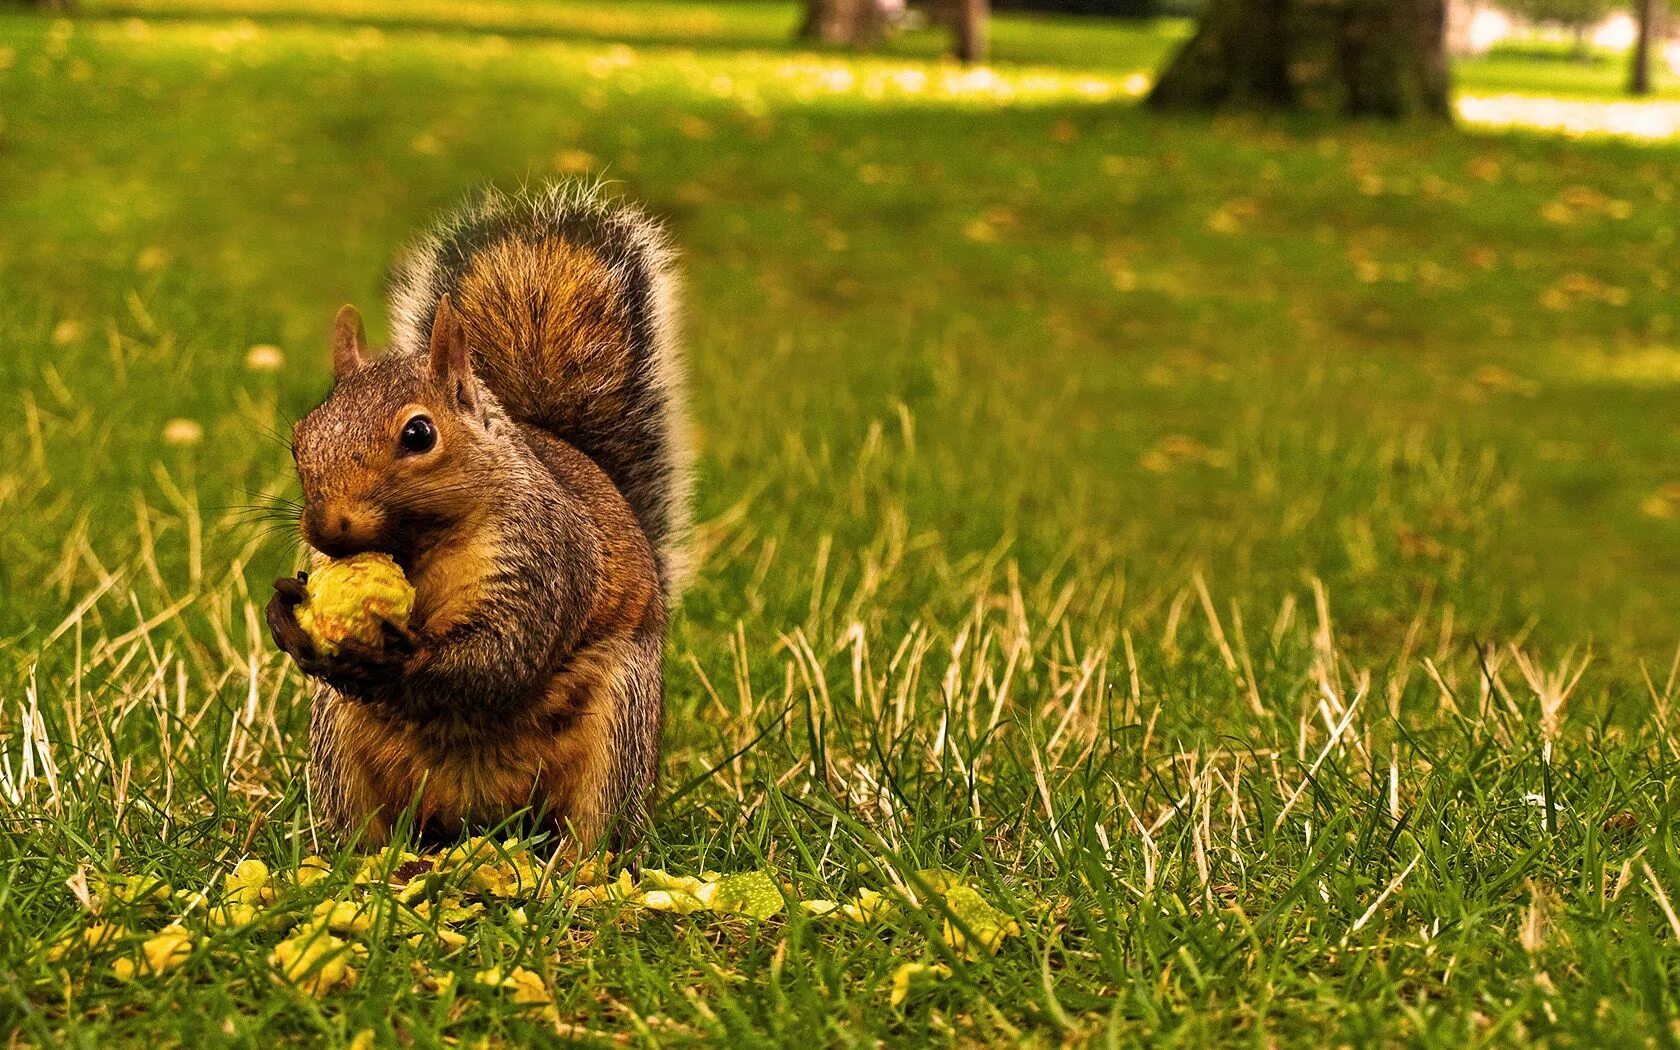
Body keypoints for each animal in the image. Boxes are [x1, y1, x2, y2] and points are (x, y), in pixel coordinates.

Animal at [265, 182, 692, 853]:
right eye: (299, 438)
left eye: (419, 434)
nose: (327, 529)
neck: (418, 548)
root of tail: (479, 817)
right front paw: (285, 611)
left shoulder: (540, 558)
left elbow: (503, 650)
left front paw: (398, 654)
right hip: (339, 743)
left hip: (620, 727)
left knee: (596, 825)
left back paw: (573, 870)